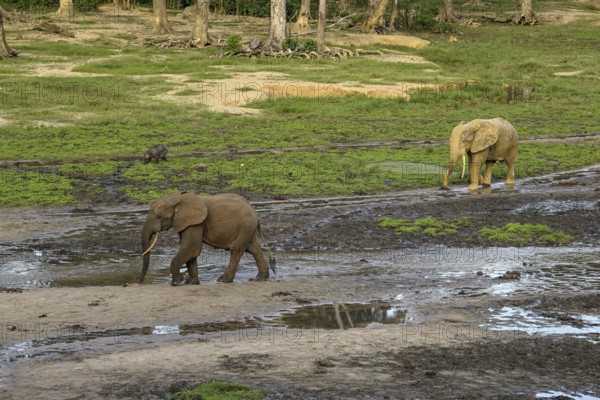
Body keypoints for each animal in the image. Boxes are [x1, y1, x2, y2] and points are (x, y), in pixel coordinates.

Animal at [141, 192, 274, 286]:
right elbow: (190, 251)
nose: (140, 281)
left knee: (237, 250)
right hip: (247, 228)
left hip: (245, 226)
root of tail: (255, 213)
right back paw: (261, 277)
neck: (177, 199)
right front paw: (191, 283)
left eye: (158, 217)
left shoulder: (196, 223)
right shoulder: (186, 223)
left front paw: (177, 282)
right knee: (253, 248)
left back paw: (223, 280)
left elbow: (191, 248)